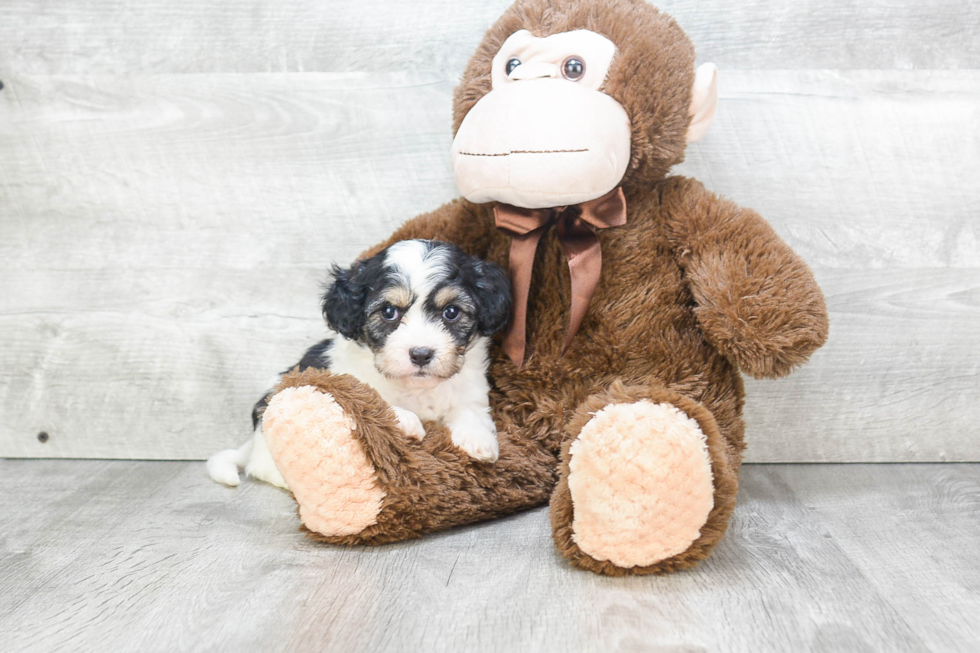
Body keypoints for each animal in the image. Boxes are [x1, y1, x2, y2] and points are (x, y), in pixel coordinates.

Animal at [207, 237, 512, 486]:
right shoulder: (344, 381)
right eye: (388, 312)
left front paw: (478, 440)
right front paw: (407, 421)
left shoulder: (470, 390)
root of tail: (251, 443)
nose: (421, 353)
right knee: (261, 468)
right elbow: (368, 400)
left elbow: (470, 410)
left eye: (451, 312)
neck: (416, 388)